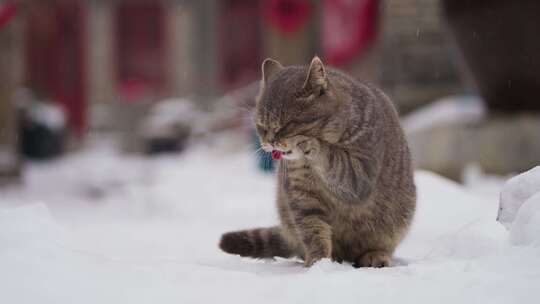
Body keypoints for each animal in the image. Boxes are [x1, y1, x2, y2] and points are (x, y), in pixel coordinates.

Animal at [217, 55, 416, 268]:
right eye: (261, 126)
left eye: (286, 125)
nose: (269, 141)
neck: (311, 167)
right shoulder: (303, 196)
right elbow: (313, 232)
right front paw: (317, 263)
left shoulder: (361, 173)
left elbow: (332, 157)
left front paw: (310, 143)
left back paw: (375, 256)